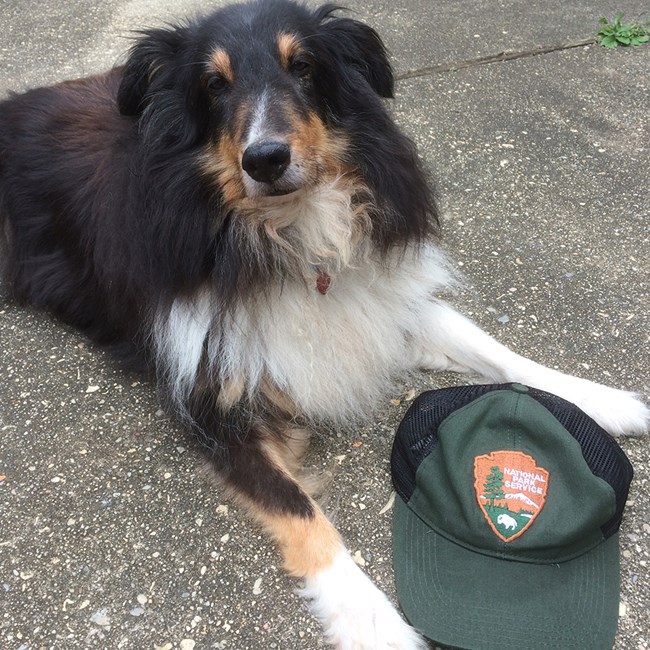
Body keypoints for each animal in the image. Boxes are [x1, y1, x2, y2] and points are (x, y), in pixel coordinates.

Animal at [0, 2, 644, 644]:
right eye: (214, 85)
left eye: (304, 66)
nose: (265, 159)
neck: (285, 235)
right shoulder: (212, 402)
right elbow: (301, 511)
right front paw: (376, 621)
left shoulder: (374, 307)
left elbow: (494, 350)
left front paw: (607, 400)